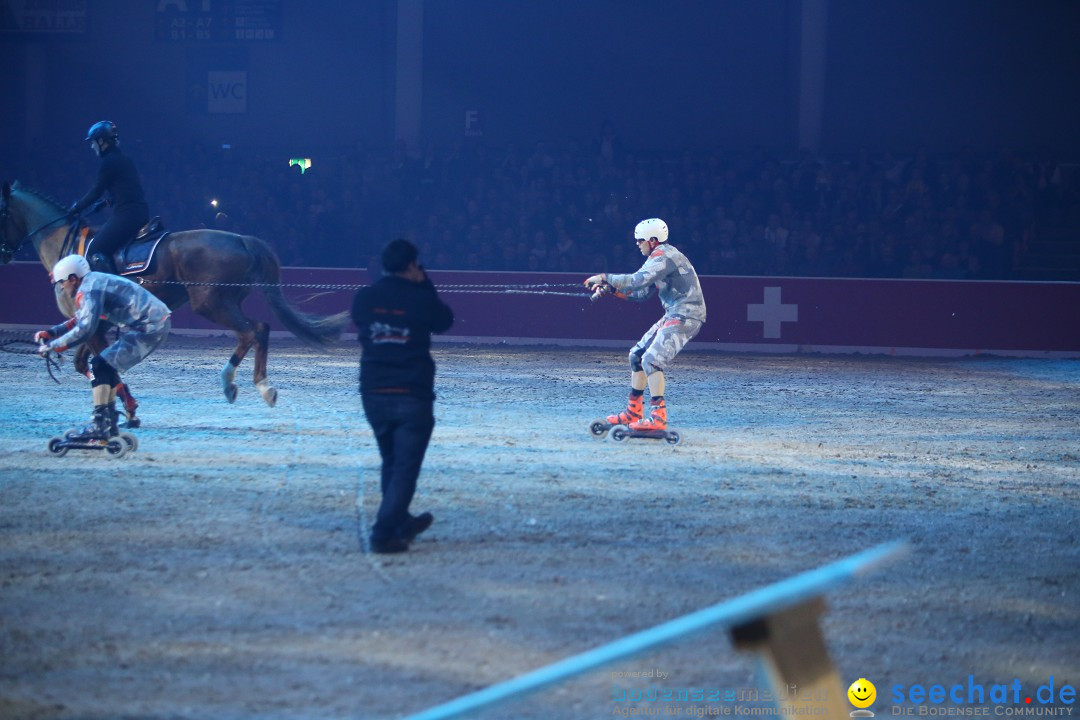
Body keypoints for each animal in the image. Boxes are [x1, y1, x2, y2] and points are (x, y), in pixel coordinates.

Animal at [1, 179, 349, 416]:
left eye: (1, 211)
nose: (4, 255)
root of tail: (242, 239)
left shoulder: (93, 322)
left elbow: (96, 364)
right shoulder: (95, 324)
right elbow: (82, 364)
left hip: (211, 303)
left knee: (255, 330)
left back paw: (254, 385)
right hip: (225, 302)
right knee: (253, 332)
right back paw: (236, 383)